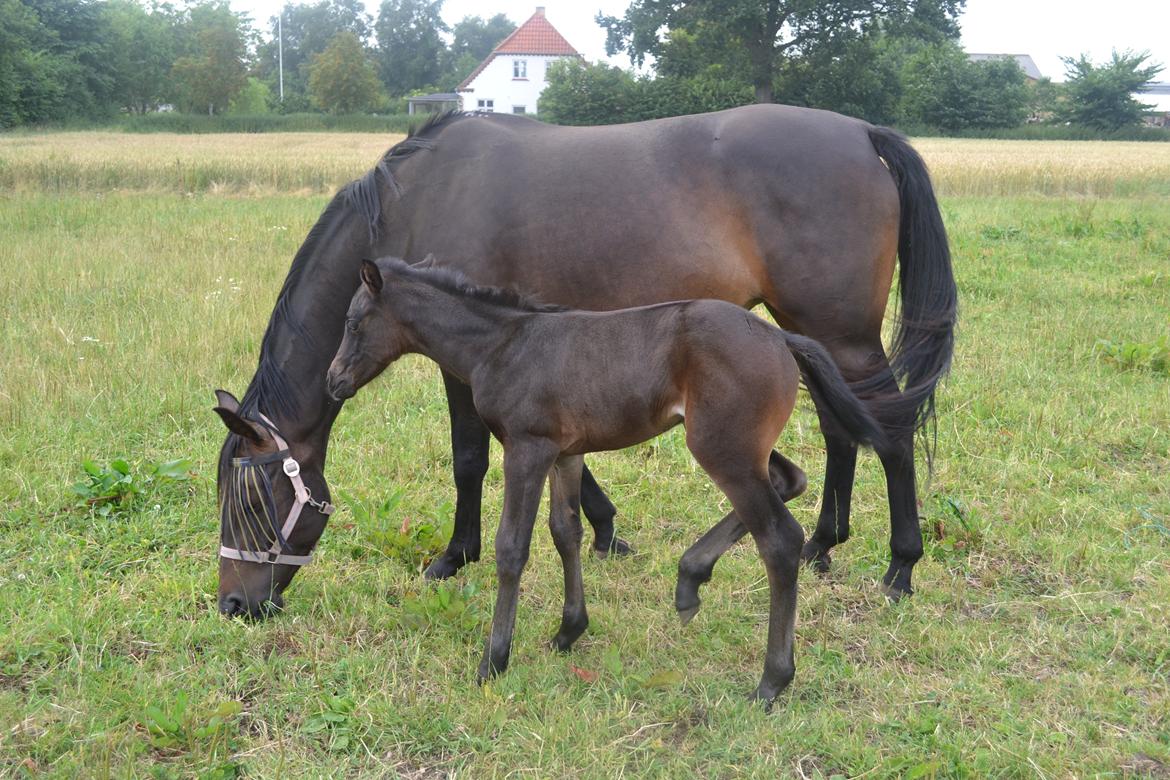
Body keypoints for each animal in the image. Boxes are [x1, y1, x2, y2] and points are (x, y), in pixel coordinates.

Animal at [215, 105, 954, 617]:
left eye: (249, 499)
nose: (235, 606)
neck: (419, 198)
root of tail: (862, 132)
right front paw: (604, 529)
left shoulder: (464, 360)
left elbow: (468, 458)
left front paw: (454, 556)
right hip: (810, 329)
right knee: (841, 428)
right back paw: (825, 543)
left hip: (842, 333)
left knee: (888, 429)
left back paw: (901, 567)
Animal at [322, 256, 884, 701]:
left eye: (352, 321)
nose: (333, 381)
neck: (503, 345)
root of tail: (780, 336)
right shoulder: (565, 454)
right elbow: (564, 533)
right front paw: (569, 631)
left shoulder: (527, 449)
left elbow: (512, 548)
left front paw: (494, 661)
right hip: (741, 448)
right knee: (791, 479)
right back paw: (690, 578)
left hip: (720, 448)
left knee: (780, 538)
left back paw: (771, 681)